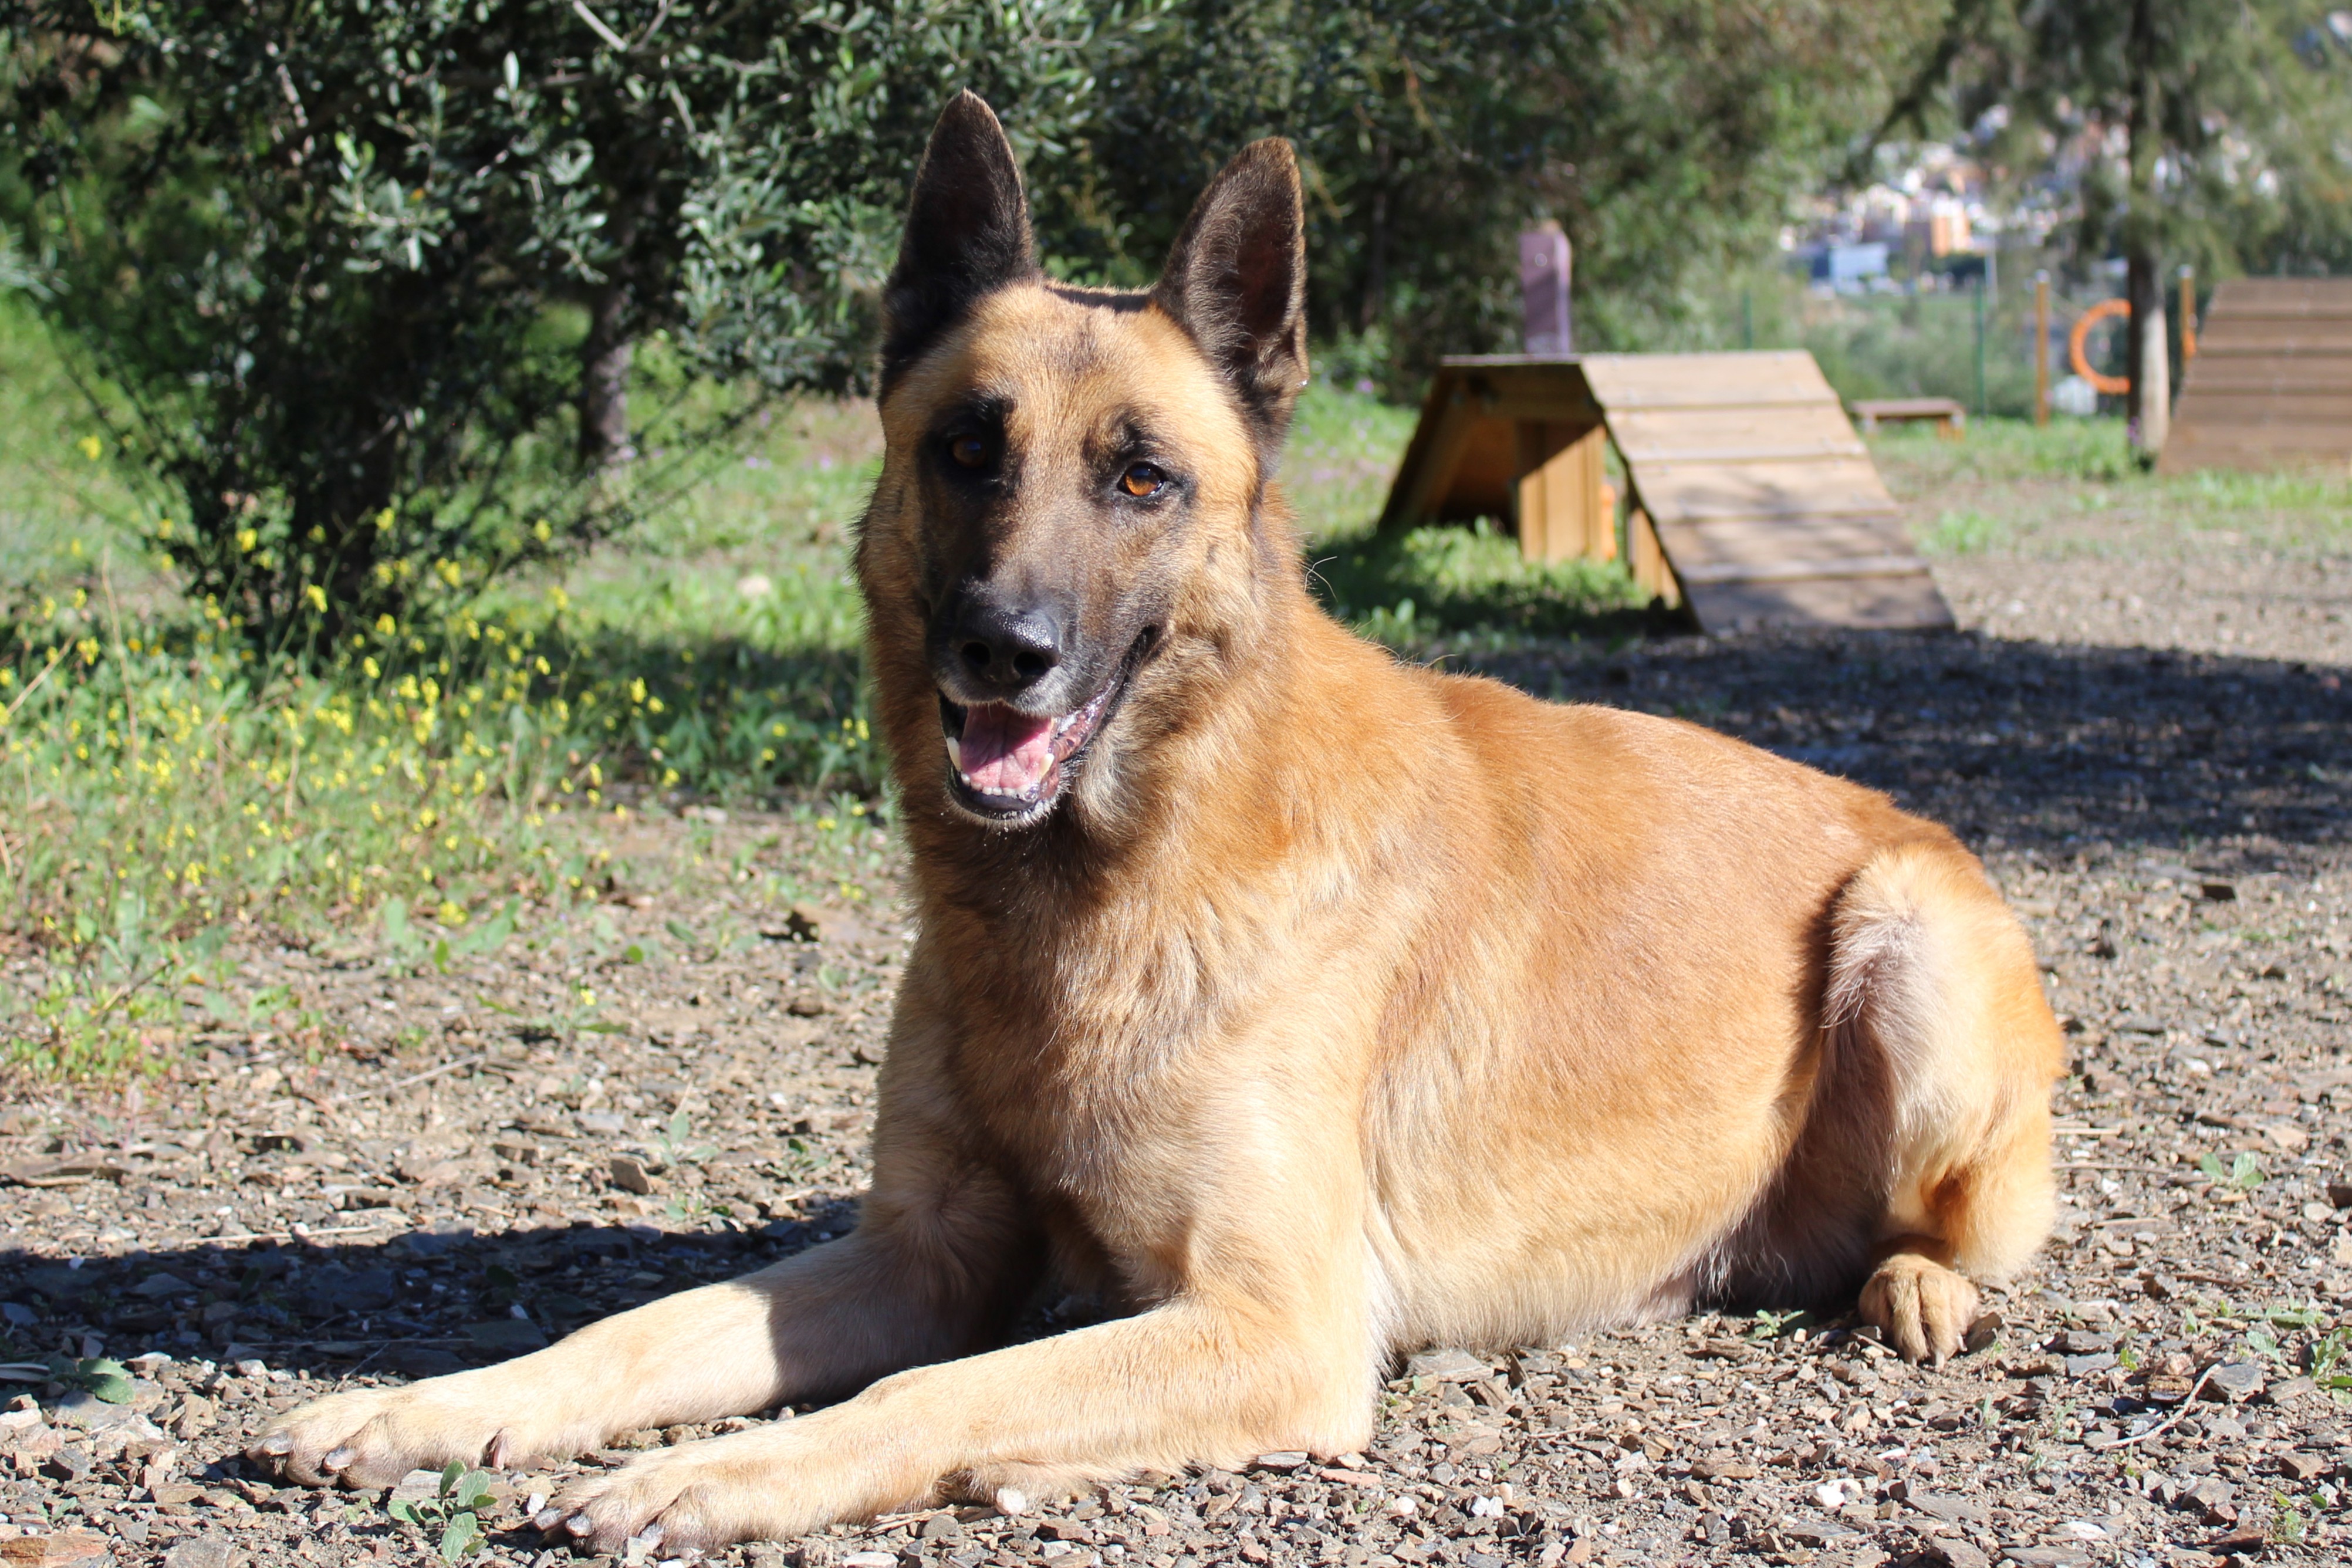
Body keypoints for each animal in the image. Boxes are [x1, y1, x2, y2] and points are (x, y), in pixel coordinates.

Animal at [248, 92, 2070, 1551]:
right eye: (964, 447)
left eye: (1141, 477)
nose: (1004, 650)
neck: (1107, 891)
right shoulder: (916, 1261)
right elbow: (639, 1328)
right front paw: (427, 1405)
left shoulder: (1267, 1324)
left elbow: (932, 1399)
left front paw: (713, 1473)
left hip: (1901, 939)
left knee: (1963, 1226)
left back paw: (1917, 1284)